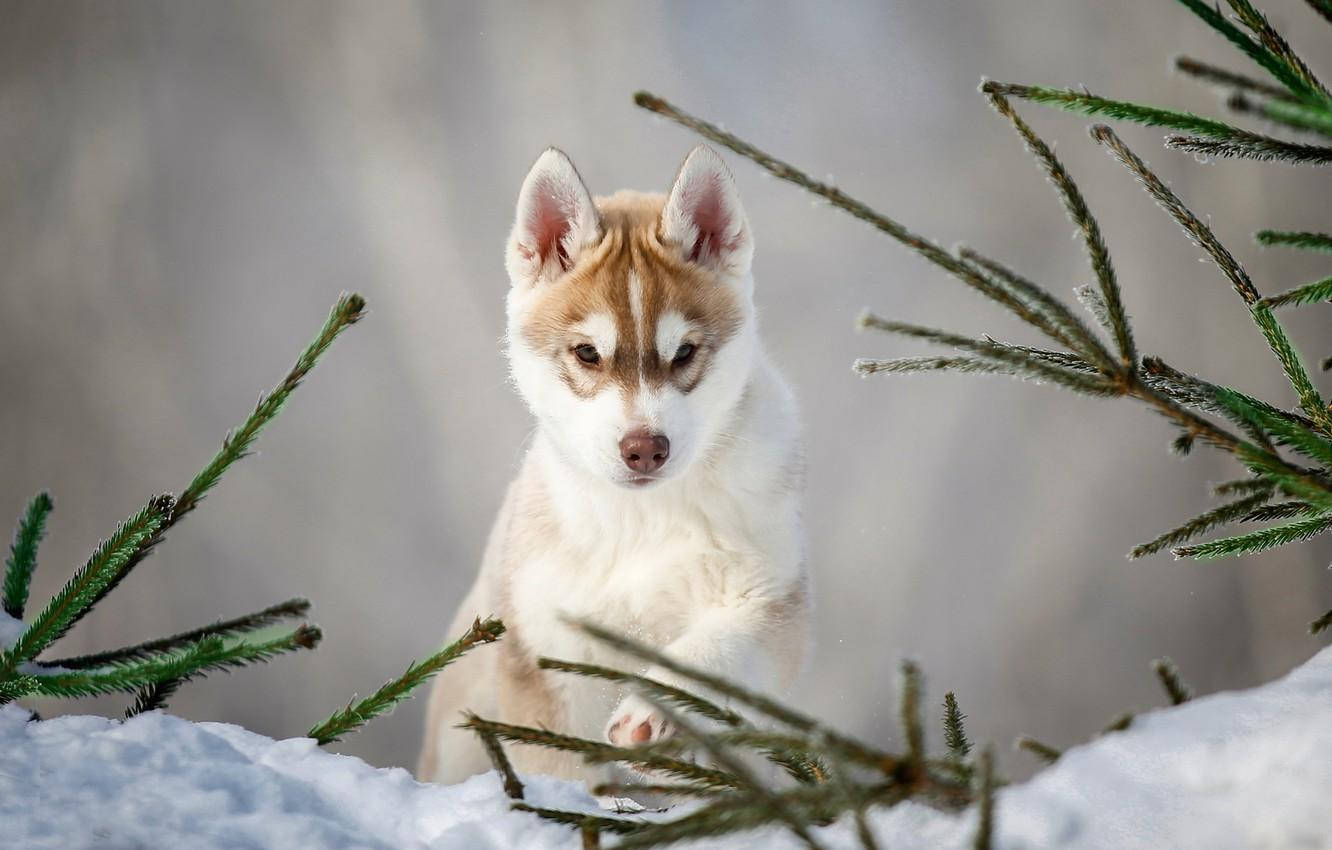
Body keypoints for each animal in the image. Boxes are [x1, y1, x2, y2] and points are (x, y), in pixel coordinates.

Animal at [420, 145, 804, 788]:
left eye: (684, 353)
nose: (645, 448)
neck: (640, 520)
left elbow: (714, 650)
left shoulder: (767, 599)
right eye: (587, 353)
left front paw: (650, 710)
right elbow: (559, 763)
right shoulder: (546, 654)